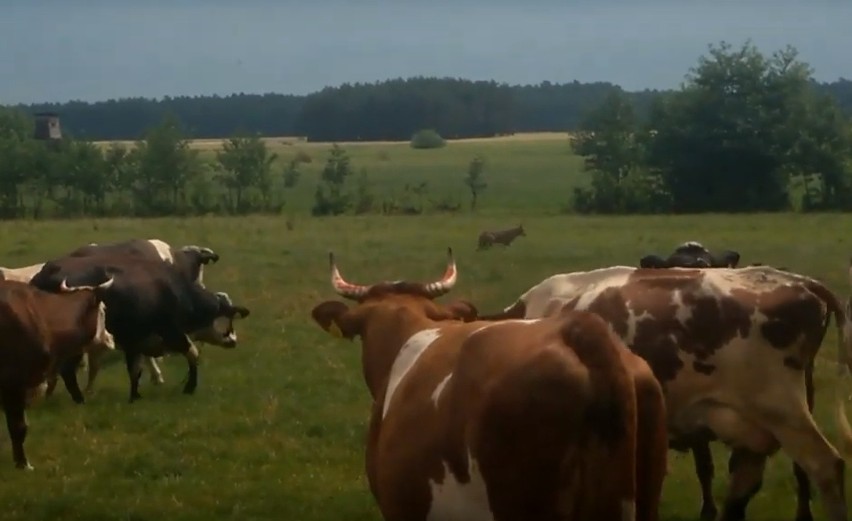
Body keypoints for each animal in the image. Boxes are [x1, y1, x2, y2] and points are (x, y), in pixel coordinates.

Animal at [29, 255, 250, 402]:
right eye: (228, 317)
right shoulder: (172, 332)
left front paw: (135, 395)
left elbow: (135, 370)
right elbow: (193, 354)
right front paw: (190, 387)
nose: (233, 340)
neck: (175, 291)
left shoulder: (135, 342)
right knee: (66, 370)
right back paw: (78, 398)